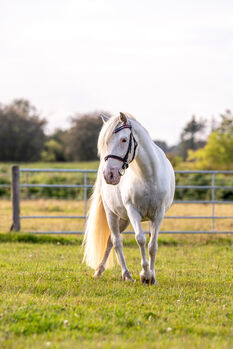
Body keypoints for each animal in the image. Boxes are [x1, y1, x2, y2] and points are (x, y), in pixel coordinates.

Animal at [82, 112, 175, 282]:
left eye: (124, 140)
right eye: (105, 143)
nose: (109, 175)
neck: (148, 176)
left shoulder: (158, 214)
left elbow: (152, 245)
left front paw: (152, 277)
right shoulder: (133, 211)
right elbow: (140, 239)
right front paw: (144, 275)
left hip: (124, 219)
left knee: (110, 241)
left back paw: (102, 271)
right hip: (112, 214)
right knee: (116, 241)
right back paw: (124, 274)